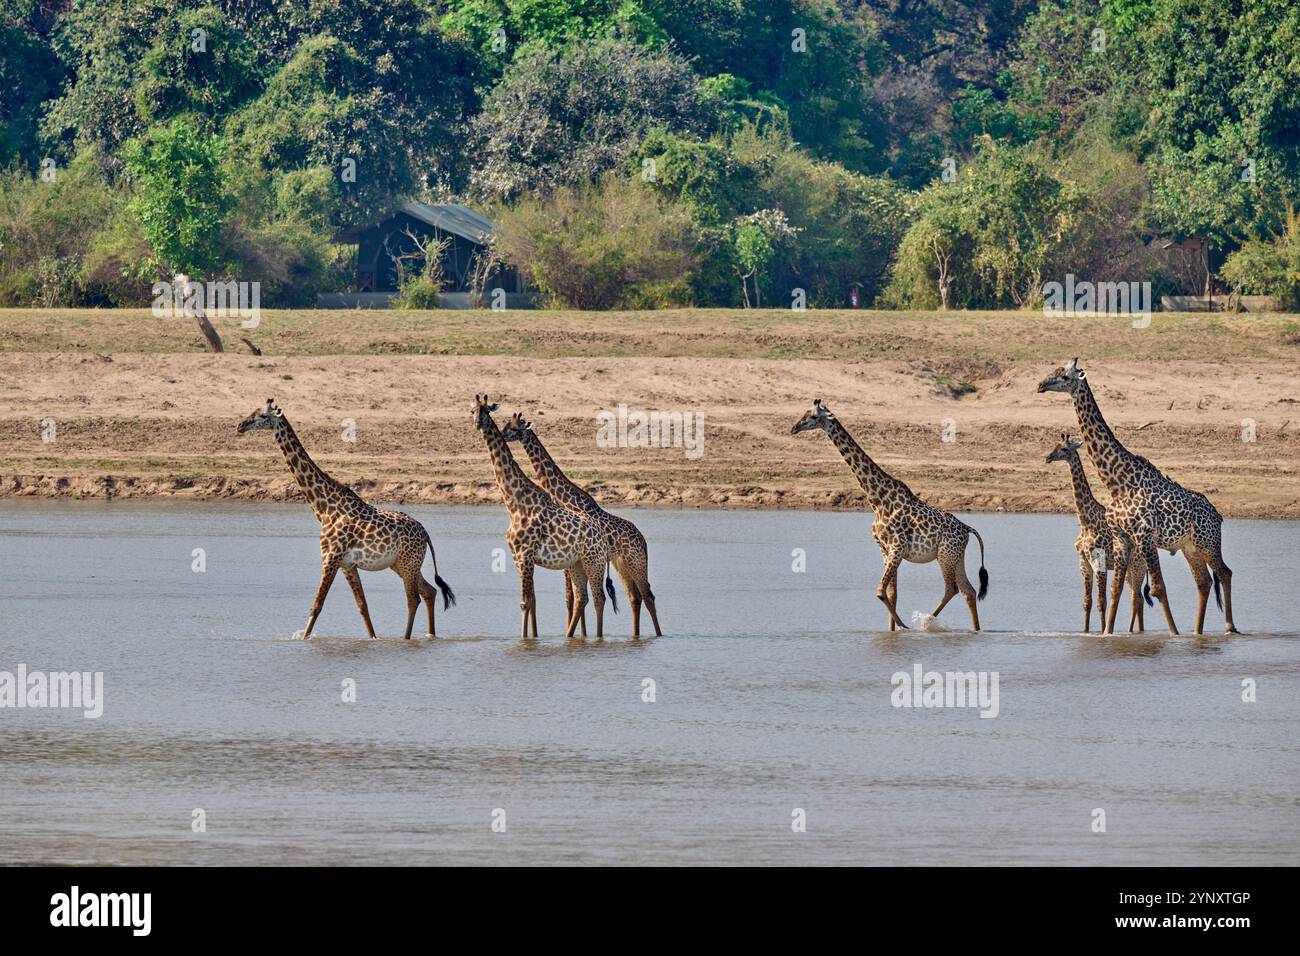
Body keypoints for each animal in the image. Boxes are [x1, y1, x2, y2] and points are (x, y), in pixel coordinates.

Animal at [237, 400, 455, 639]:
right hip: (401, 564)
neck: (324, 508)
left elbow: (316, 605)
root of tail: (426, 534)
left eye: (262, 416)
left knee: (413, 599)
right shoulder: (347, 564)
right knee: (429, 591)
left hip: (408, 564)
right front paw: (373, 639)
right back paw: (430, 636)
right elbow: (362, 606)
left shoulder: (330, 558)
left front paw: (303, 639)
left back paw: (406, 639)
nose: (240, 426)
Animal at [473, 395, 616, 640]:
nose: (476, 423)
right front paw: (531, 639)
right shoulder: (518, 557)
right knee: (583, 598)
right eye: (472, 409)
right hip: (576, 564)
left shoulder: (526, 555)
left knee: (599, 598)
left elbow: (524, 602)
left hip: (594, 561)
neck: (514, 503)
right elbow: (531, 600)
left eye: (485, 411)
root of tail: (602, 537)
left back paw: (597, 638)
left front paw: (524, 639)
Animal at [501, 412, 662, 638]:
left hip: (635, 562)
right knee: (635, 597)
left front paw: (578, 633)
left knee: (648, 596)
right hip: (620, 564)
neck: (565, 498)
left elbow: (573, 598)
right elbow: (573, 598)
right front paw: (580, 635)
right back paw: (635, 635)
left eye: (514, 428)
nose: (502, 434)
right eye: (506, 424)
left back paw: (657, 635)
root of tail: (643, 540)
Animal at [791, 399, 989, 631]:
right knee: (969, 590)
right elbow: (892, 594)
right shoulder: (884, 549)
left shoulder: (897, 547)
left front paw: (903, 625)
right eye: (804, 412)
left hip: (945, 555)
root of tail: (967, 529)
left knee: (952, 588)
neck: (877, 500)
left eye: (813, 416)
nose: (794, 427)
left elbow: (880, 591)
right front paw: (892, 631)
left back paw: (925, 622)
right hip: (956, 556)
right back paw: (974, 630)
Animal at [1046, 433, 1152, 633]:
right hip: (1129, 570)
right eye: (1055, 445)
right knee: (1138, 598)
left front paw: (1102, 631)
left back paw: (1133, 631)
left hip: (1138, 567)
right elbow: (1087, 602)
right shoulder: (1084, 563)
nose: (1048, 457)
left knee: (1136, 598)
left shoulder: (1099, 562)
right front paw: (1086, 631)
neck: (1085, 523)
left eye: (1064, 449)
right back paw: (1135, 632)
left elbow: (1101, 602)